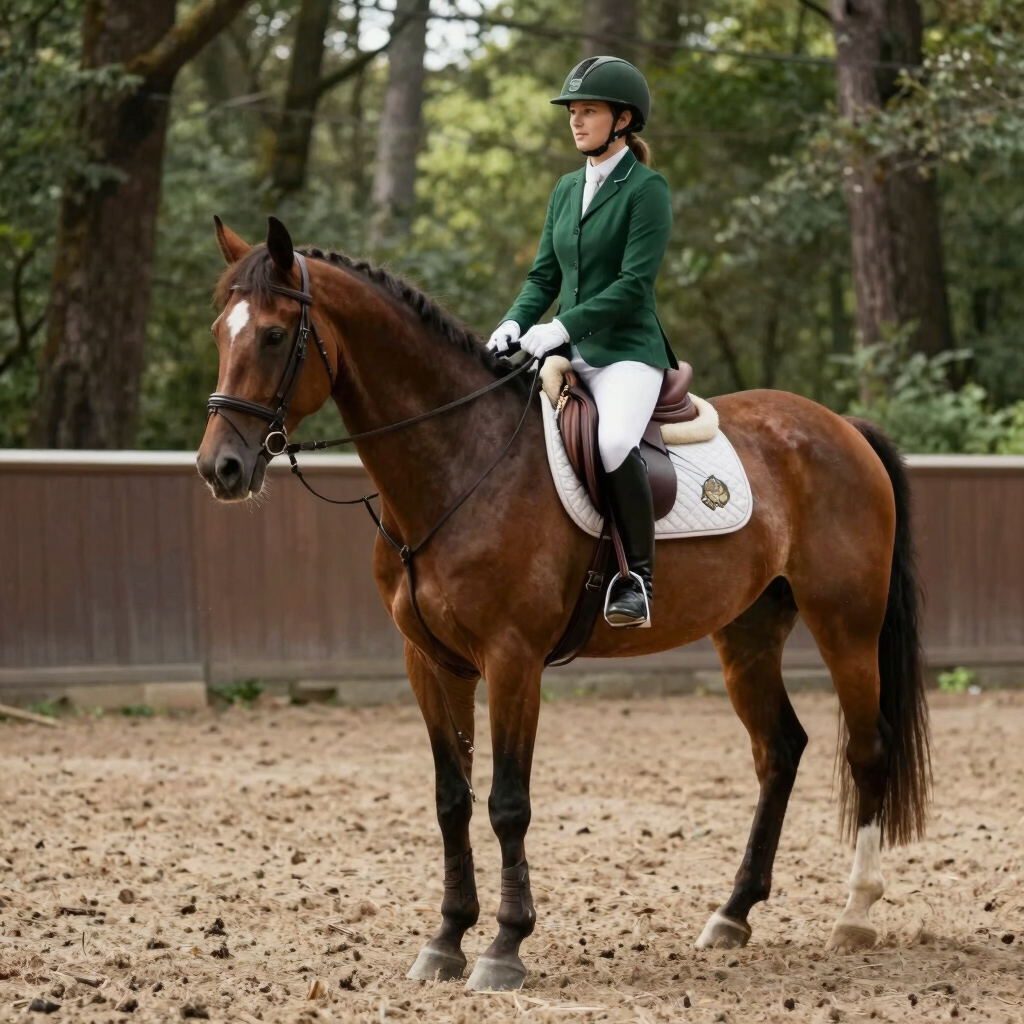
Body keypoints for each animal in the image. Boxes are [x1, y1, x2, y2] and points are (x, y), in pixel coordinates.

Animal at [197, 217, 930, 991]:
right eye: (220, 332)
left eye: (274, 335)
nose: (220, 468)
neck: (459, 460)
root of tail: (841, 426)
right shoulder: (431, 662)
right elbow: (452, 799)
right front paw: (446, 939)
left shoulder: (512, 660)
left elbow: (506, 803)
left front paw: (504, 947)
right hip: (747, 634)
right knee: (780, 750)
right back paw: (733, 914)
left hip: (846, 625)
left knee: (869, 748)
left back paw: (855, 913)